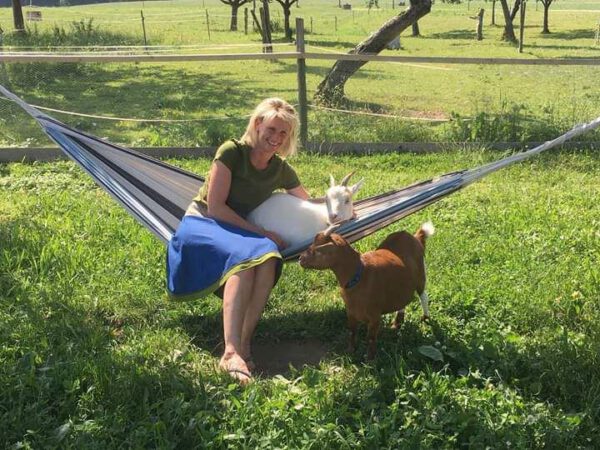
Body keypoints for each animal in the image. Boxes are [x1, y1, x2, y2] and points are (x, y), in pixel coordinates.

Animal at [302, 223, 434, 360]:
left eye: (317, 250)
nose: (301, 259)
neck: (359, 275)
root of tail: (415, 237)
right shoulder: (350, 312)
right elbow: (352, 332)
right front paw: (350, 351)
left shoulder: (375, 316)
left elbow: (370, 338)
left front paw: (370, 359)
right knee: (402, 300)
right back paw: (397, 323)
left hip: (421, 276)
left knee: (424, 296)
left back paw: (425, 318)